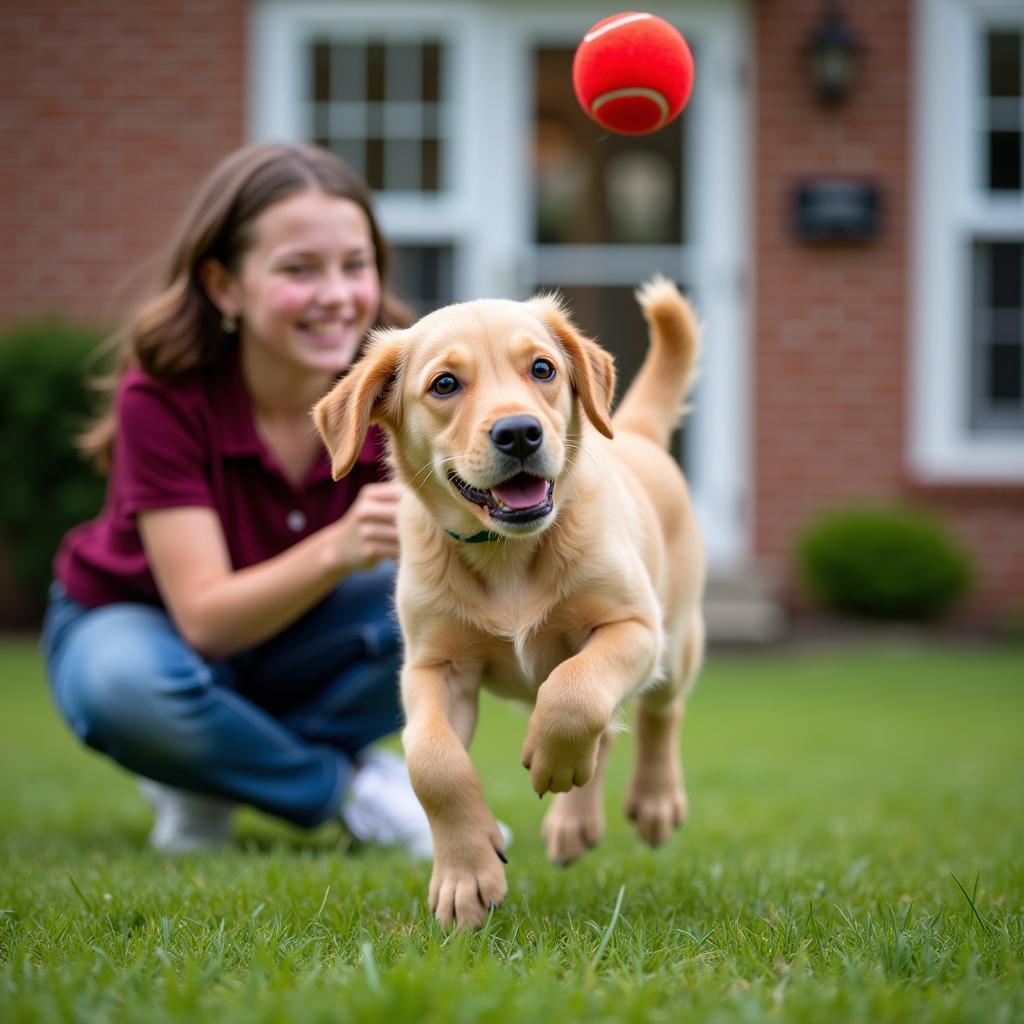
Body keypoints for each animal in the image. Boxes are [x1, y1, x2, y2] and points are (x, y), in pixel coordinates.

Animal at [315, 276, 708, 933]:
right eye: (445, 384)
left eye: (543, 369)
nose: (520, 432)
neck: (506, 552)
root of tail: (635, 433)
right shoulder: (432, 666)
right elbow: (432, 761)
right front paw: (466, 878)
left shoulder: (633, 625)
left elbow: (574, 693)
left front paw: (551, 760)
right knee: (608, 730)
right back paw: (575, 822)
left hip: (675, 638)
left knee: (660, 709)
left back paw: (653, 800)